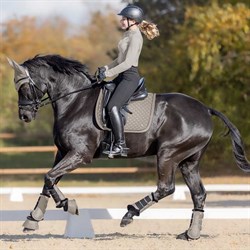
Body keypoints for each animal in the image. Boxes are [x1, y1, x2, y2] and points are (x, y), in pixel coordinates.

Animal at [7, 55, 250, 240]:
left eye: (24, 87)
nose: (25, 116)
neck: (75, 101)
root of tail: (206, 109)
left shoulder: (80, 154)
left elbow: (49, 177)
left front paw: (68, 206)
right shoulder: (63, 153)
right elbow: (49, 181)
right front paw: (34, 218)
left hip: (168, 154)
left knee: (166, 187)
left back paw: (129, 214)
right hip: (189, 161)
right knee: (198, 194)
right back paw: (191, 234)